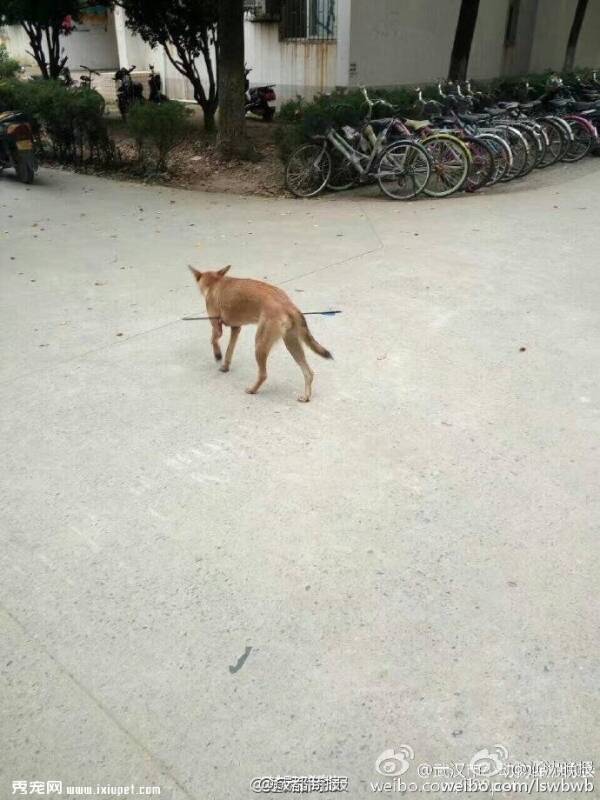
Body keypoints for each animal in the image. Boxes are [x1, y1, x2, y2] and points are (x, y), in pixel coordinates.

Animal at [190, 266, 332, 400]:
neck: (215, 282)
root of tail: (288, 304)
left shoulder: (216, 326)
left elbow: (213, 340)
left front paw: (218, 355)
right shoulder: (236, 329)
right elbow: (229, 351)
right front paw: (225, 365)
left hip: (260, 344)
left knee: (263, 374)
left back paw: (253, 389)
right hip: (291, 343)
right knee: (308, 372)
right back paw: (306, 395)